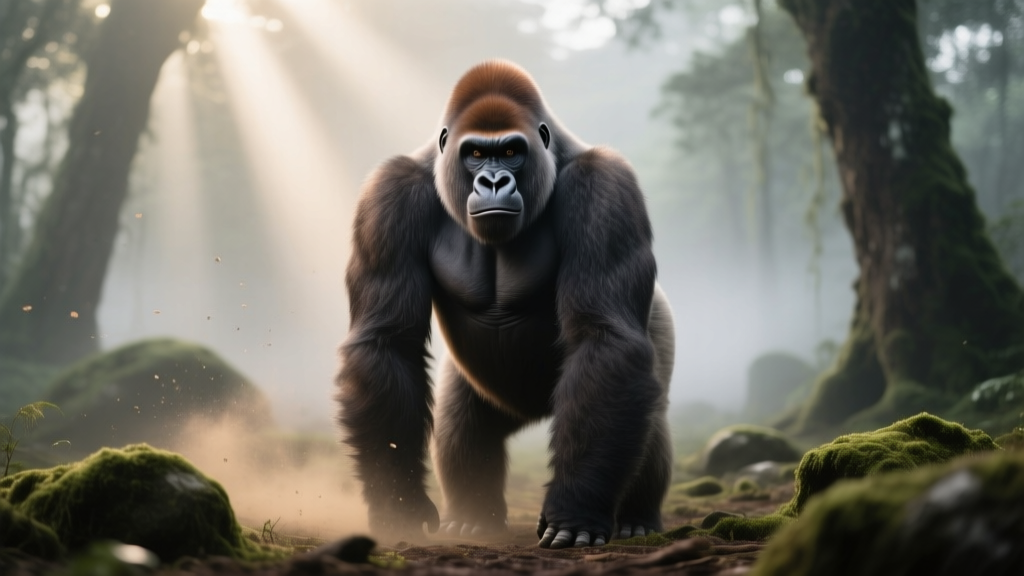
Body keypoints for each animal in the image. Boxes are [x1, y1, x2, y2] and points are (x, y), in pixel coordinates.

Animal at [336, 60, 674, 549]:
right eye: (476, 153)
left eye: (512, 151)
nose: (493, 180)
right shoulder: (389, 194)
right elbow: (387, 343)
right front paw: (398, 503)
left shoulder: (607, 187)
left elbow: (605, 339)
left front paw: (575, 509)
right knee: (461, 420)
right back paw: (474, 516)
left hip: (661, 322)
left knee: (648, 412)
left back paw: (636, 518)